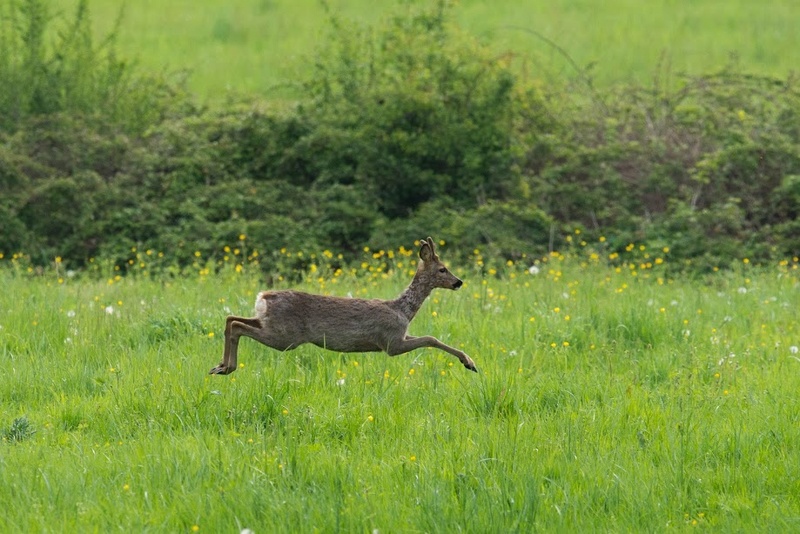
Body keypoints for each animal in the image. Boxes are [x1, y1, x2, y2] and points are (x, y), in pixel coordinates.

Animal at [209, 239, 478, 376]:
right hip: (285, 336)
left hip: (270, 323)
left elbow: (431, 338)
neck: (403, 309)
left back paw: (220, 366)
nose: (458, 282)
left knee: (231, 318)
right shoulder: (391, 342)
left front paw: (469, 362)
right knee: (237, 325)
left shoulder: (398, 336)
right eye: (442, 269)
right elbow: (431, 339)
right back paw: (227, 367)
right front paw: (470, 363)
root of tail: (263, 296)